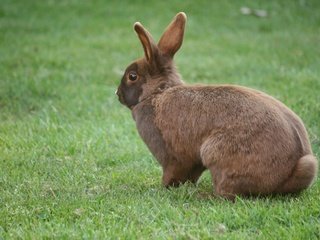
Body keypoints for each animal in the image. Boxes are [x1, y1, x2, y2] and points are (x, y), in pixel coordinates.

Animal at [115, 12, 318, 200]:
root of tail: (288, 175)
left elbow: (173, 173)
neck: (156, 93)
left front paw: (163, 188)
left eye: (132, 76)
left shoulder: (172, 156)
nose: (117, 94)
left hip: (215, 153)